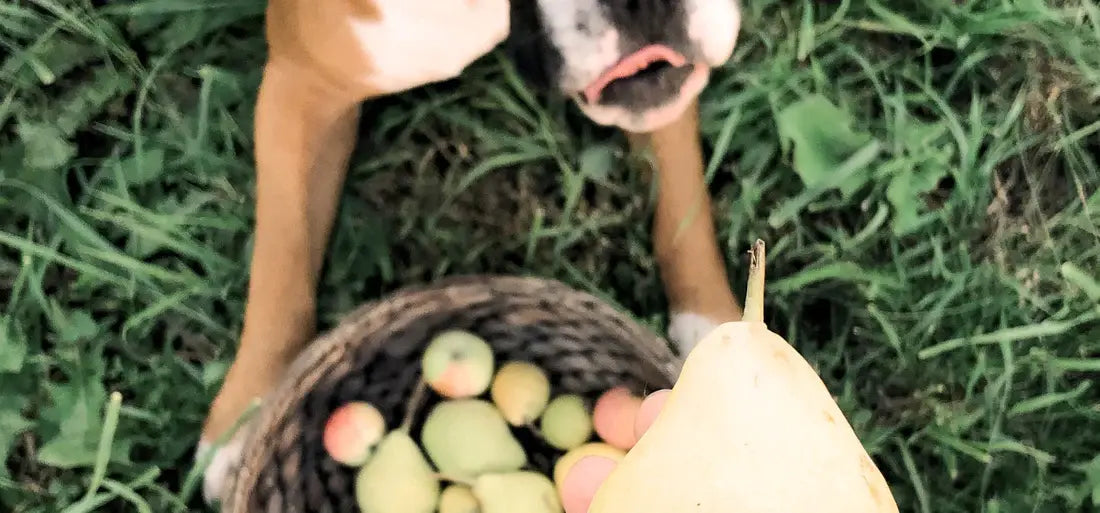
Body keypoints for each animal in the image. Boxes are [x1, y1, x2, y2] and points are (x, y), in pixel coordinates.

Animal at [201, 0, 743, 504]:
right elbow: (281, 257)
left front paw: (714, 328)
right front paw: (245, 420)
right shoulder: (301, 84)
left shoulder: (666, 90)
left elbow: (682, 196)